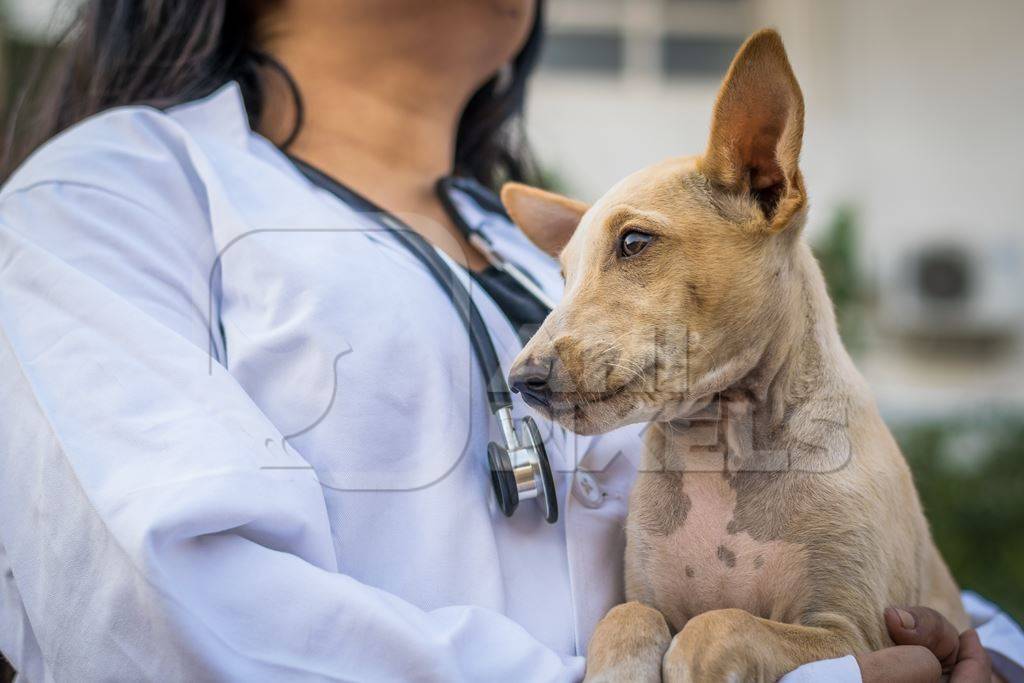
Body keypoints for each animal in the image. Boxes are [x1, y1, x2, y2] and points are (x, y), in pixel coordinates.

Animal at [503, 28, 966, 683]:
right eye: (562, 276)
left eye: (634, 242)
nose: (522, 379)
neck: (719, 446)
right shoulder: (646, 595)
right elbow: (625, 618)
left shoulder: (854, 633)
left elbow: (717, 627)